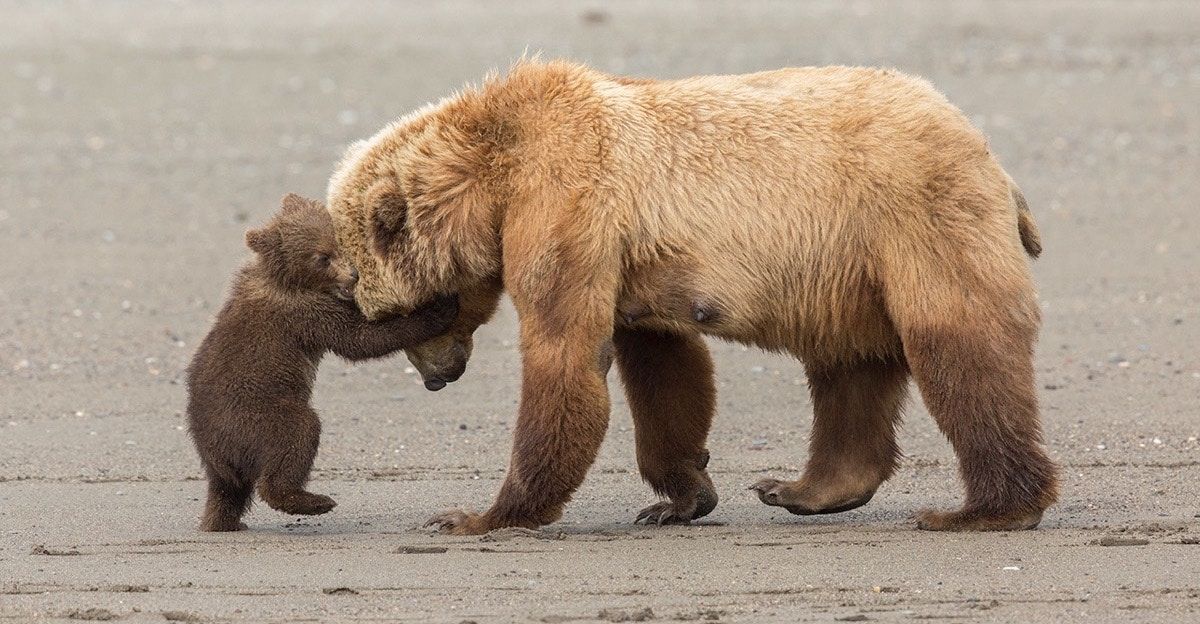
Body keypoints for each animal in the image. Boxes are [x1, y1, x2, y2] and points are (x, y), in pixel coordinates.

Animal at [324, 59, 1056, 535]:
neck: (493, 176)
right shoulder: (631, 263)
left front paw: (479, 514)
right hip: (848, 270)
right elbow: (665, 370)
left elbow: (565, 354)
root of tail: (988, 152)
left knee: (958, 342)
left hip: (912, 214)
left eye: (398, 315)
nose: (436, 378)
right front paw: (679, 497)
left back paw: (985, 508)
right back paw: (803, 488)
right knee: (849, 365)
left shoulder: (566, 204)